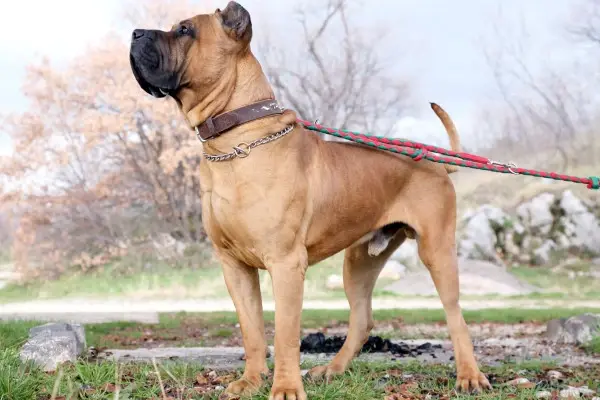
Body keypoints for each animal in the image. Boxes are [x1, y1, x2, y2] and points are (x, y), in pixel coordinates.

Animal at [129, 2, 490, 396]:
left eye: (185, 30)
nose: (134, 33)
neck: (234, 142)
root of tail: (436, 162)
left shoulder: (286, 264)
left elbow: (285, 332)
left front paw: (286, 387)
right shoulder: (234, 266)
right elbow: (252, 330)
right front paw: (251, 381)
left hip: (436, 250)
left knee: (455, 314)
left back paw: (470, 376)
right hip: (359, 260)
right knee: (362, 317)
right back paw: (332, 369)